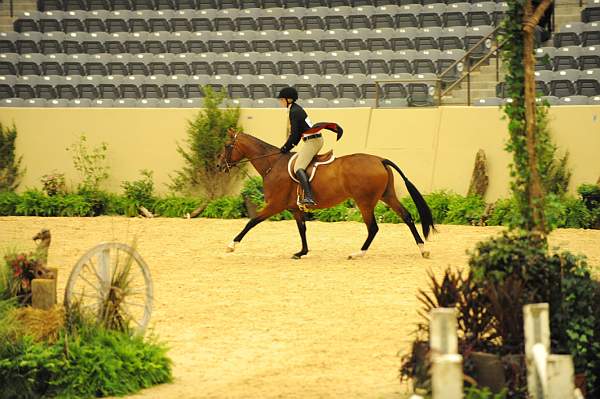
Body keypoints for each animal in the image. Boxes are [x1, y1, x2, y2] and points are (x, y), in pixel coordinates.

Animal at [218, 130, 434, 260]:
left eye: (227, 146)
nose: (219, 166)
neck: (273, 164)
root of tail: (380, 159)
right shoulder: (295, 208)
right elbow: (302, 229)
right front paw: (301, 252)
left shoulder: (274, 205)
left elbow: (251, 222)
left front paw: (231, 246)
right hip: (386, 196)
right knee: (406, 216)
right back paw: (423, 250)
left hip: (364, 201)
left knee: (373, 227)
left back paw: (357, 253)